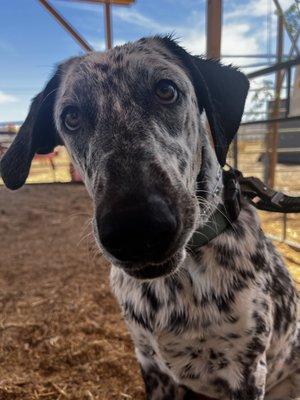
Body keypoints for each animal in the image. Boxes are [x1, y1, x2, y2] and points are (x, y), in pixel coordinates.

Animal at [1, 36, 298, 398]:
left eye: (166, 90)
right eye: (71, 116)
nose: (136, 230)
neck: (175, 286)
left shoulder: (246, 372)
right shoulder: (151, 364)